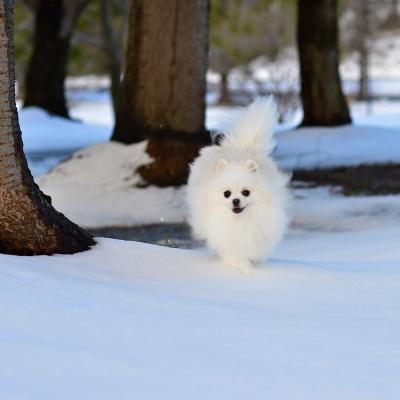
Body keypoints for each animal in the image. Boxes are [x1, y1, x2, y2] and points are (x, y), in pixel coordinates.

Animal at [186, 96, 290, 272]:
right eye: (226, 194)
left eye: (246, 192)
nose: (235, 201)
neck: (240, 221)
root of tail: (241, 146)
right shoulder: (226, 235)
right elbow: (233, 254)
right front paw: (242, 267)